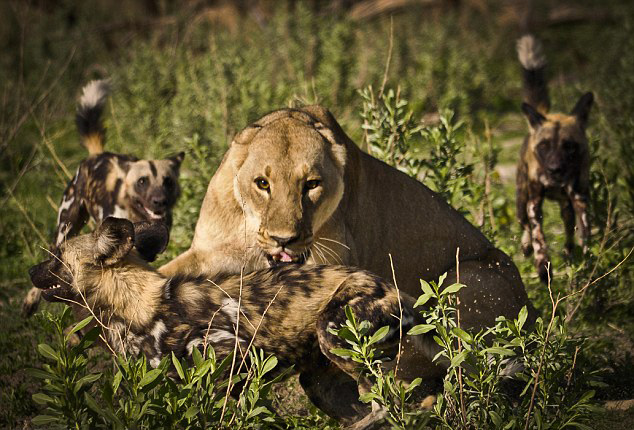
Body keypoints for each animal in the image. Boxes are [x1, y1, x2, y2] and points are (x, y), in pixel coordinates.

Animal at [22, 80, 184, 316]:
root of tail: (96, 154)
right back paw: (30, 302)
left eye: (168, 181)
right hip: (65, 229)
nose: (159, 201)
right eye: (142, 181)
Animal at [28, 218, 430, 426]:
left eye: (56, 256)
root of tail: (394, 289)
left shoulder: (234, 356)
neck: (136, 304)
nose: (30, 271)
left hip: (339, 341)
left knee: (394, 403)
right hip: (319, 381)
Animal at [512, 33, 592, 282]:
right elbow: (539, 235)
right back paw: (526, 246)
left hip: (565, 205)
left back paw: (569, 252)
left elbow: (584, 230)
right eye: (544, 146)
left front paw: (588, 258)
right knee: (525, 226)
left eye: (569, 146)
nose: (555, 169)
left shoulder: (579, 197)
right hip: (521, 200)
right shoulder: (534, 202)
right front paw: (542, 265)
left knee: (568, 224)